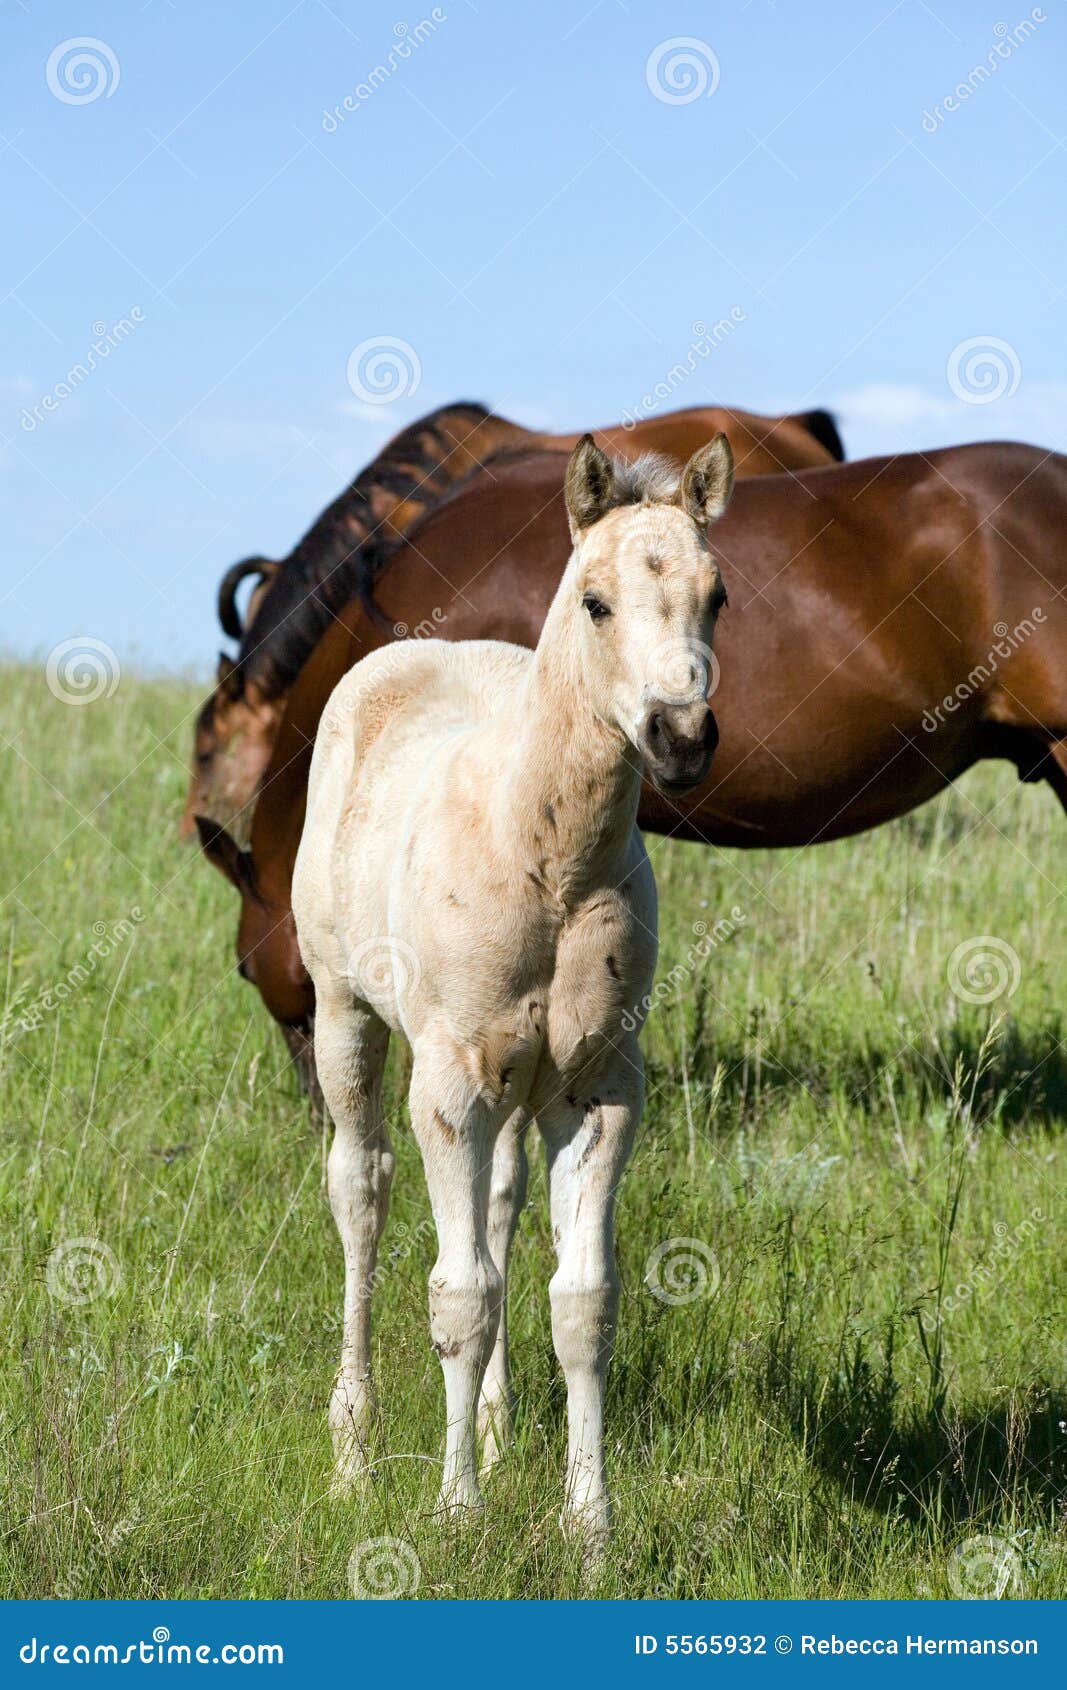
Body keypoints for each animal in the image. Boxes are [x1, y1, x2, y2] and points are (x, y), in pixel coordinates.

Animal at [291, 434, 733, 1542]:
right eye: (594, 600)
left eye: (717, 596)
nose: (680, 736)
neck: (547, 859)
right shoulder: (450, 1084)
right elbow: (460, 1298)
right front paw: (455, 1513)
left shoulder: (599, 1087)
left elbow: (579, 1301)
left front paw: (590, 1525)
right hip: (345, 1014)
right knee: (360, 1189)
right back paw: (354, 1452)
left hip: (517, 1088)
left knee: (496, 1206)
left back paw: (492, 1433)